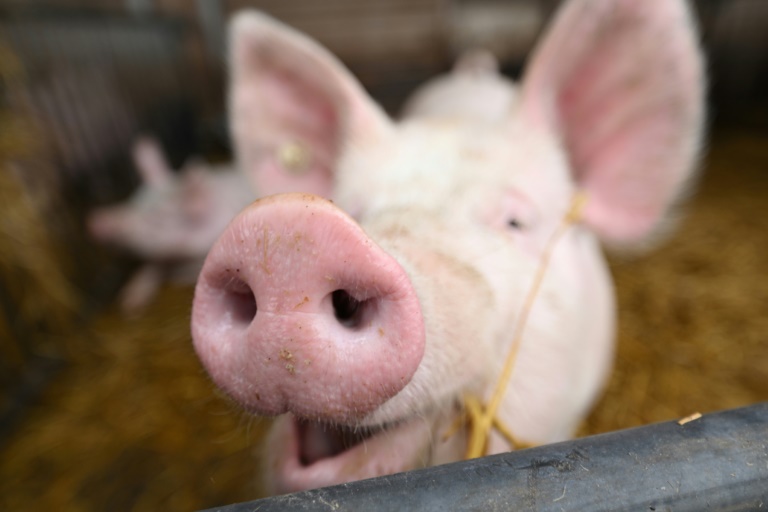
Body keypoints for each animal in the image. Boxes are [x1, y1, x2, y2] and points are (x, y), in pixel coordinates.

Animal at [88, 137, 254, 312]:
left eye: (156, 220)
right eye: (133, 201)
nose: (94, 220)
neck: (183, 258)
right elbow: (153, 265)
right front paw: (128, 304)